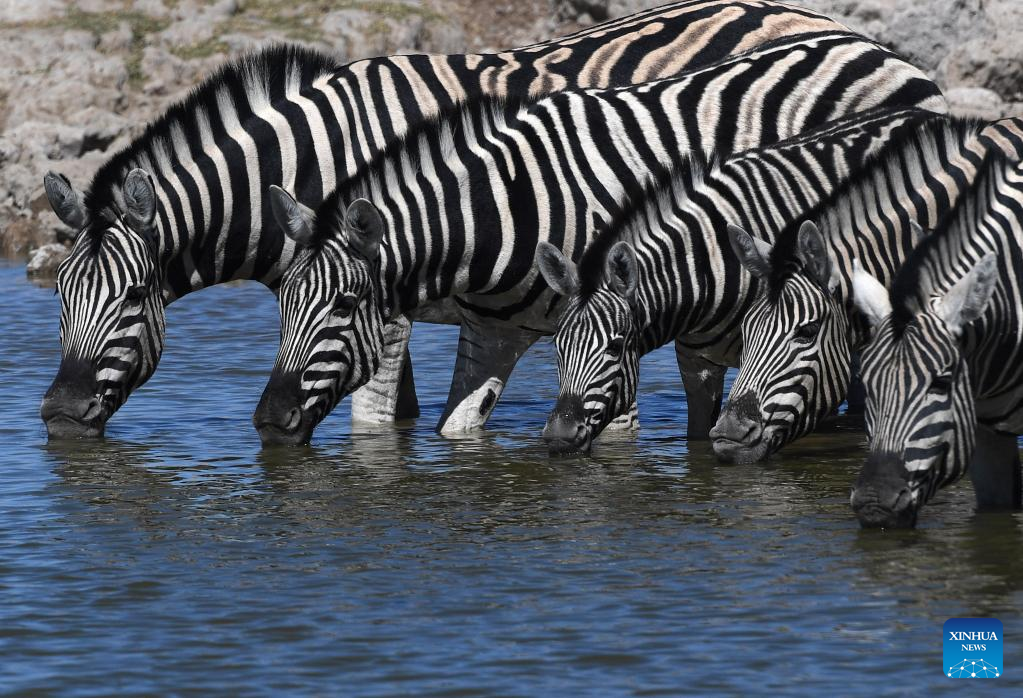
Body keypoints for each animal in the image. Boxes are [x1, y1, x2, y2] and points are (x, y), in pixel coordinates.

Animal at [37, 0, 871, 433]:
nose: (56, 413)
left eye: (133, 298)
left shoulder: (386, 297)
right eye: (58, 301)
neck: (320, 159)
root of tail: (847, 31)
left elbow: (375, 421)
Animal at [540, 107, 937, 450]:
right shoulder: (697, 366)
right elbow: (699, 439)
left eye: (616, 346)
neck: (706, 264)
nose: (559, 435)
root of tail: (923, 112)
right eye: (558, 346)